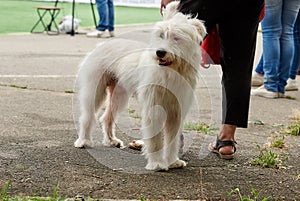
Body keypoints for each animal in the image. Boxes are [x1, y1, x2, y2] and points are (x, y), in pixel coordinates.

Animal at [74, 2, 206, 170]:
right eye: (161, 35)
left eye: (176, 38)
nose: (160, 52)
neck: (170, 72)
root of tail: (102, 44)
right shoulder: (154, 110)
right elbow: (155, 140)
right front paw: (156, 163)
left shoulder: (176, 113)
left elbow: (172, 140)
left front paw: (172, 161)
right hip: (94, 91)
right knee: (87, 116)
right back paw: (83, 141)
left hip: (119, 96)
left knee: (107, 117)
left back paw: (111, 140)